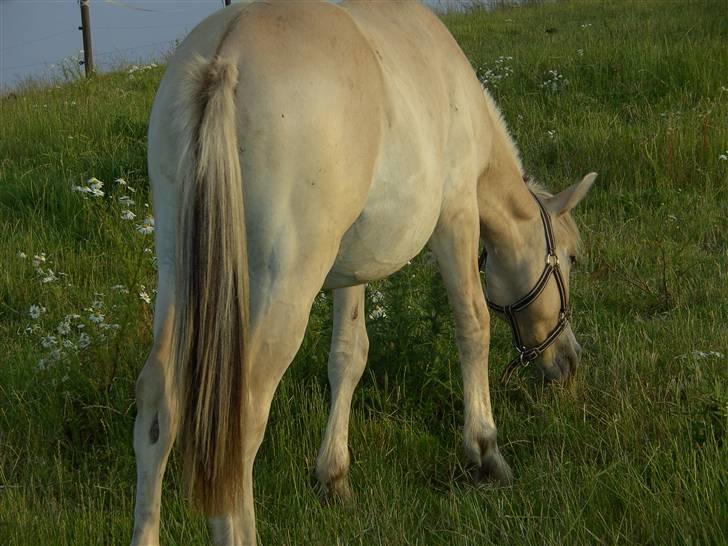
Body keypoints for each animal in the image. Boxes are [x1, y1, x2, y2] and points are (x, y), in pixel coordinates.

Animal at [132, 1, 596, 544]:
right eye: (569, 258)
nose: (570, 360)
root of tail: (225, 56)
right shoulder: (457, 216)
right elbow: (473, 324)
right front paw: (485, 451)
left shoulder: (351, 271)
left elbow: (348, 356)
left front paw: (333, 477)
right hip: (286, 282)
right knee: (240, 418)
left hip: (178, 273)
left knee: (158, 399)